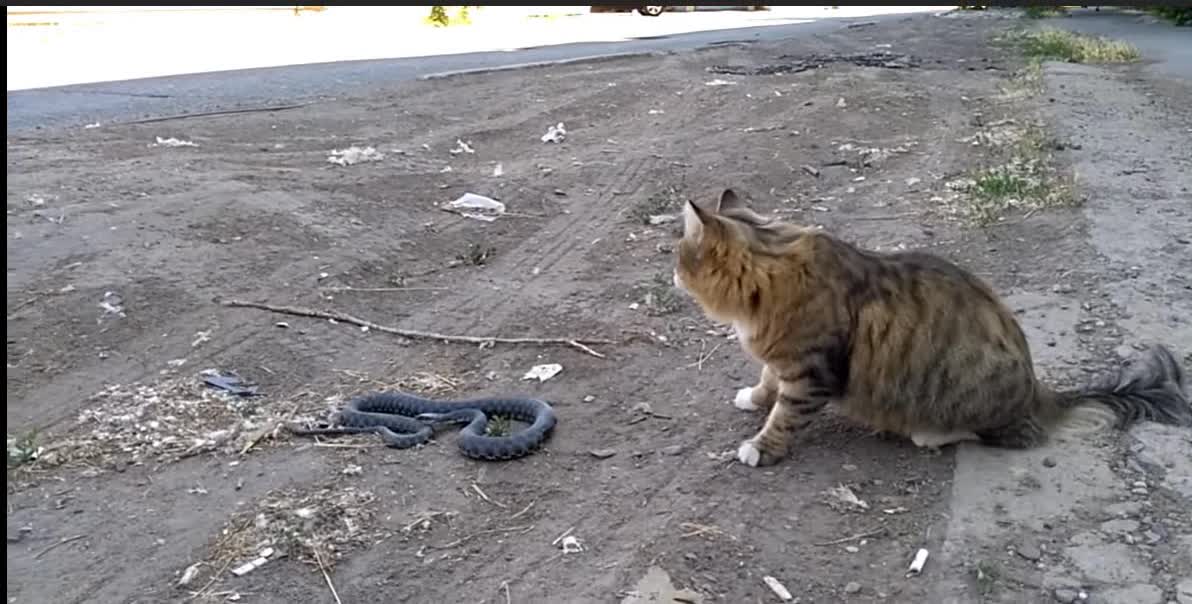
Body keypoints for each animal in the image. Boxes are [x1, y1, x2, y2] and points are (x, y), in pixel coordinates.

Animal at [677, 189, 1187, 466]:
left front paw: (761, 447)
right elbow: (767, 379)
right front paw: (755, 397)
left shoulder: (813, 372)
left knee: (1014, 435)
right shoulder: (788, 359)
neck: (770, 269)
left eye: (679, 258)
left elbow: (785, 415)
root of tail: (1038, 388)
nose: (672, 275)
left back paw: (932, 433)